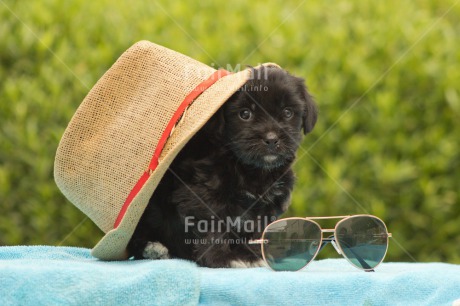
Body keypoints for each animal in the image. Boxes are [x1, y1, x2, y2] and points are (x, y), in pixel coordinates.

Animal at [127, 65, 318, 266]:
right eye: (245, 114)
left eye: (288, 112)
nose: (272, 139)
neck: (250, 169)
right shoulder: (202, 196)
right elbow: (214, 226)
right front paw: (221, 258)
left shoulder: (267, 204)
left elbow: (256, 230)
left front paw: (253, 255)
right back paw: (153, 248)